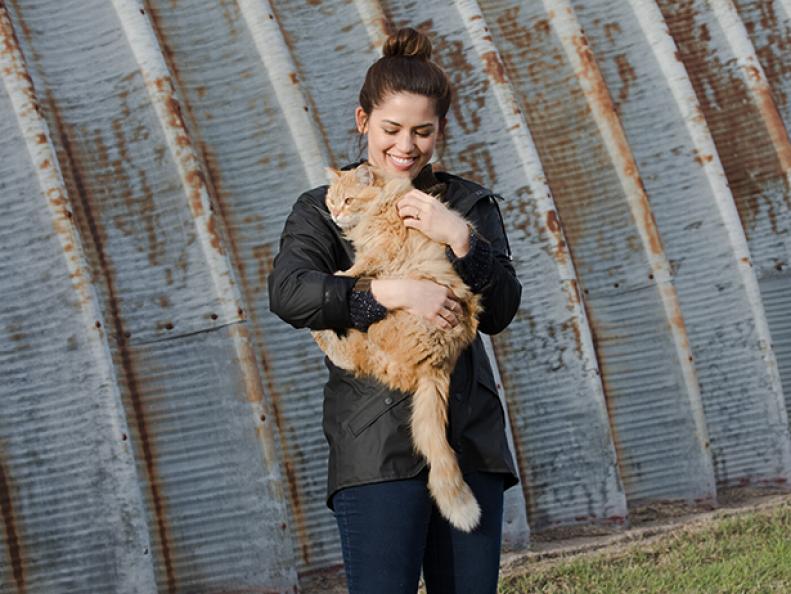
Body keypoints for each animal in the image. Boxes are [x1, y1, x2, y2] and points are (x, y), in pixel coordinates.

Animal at [314, 163, 486, 532]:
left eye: (348, 200)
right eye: (332, 201)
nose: (335, 214)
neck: (383, 202)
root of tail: (438, 364)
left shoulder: (381, 248)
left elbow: (358, 267)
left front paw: (341, 273)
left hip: (378, 330)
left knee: (352, 355)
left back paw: (318, 332)